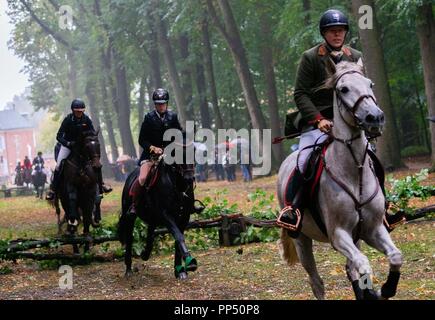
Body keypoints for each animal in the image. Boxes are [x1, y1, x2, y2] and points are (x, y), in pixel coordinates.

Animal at [119, 144, 201, 278]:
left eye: (193, 153)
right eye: (177, 154)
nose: (189, 178)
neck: (177, 185)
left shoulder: (184, 217)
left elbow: (178, 239)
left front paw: (180, 271)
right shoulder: (166, 215)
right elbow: (178, 236)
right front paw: (190, 262)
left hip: (152, 218)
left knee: (150, 234)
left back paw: (145, 254)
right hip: (129, 216)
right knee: (130, 238)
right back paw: (129, 269)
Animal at [278, 60, 404, 300]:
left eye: (370, 84)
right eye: (343, 89)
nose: (375, 118)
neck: (355, 172)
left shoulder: (372, 229)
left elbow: (395, 256)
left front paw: (385, 289)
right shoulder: (338, 234)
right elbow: (363, 265)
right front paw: (374, 290)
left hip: (356, 237)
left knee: (349, 268)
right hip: (302, 240)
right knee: (316, 282)